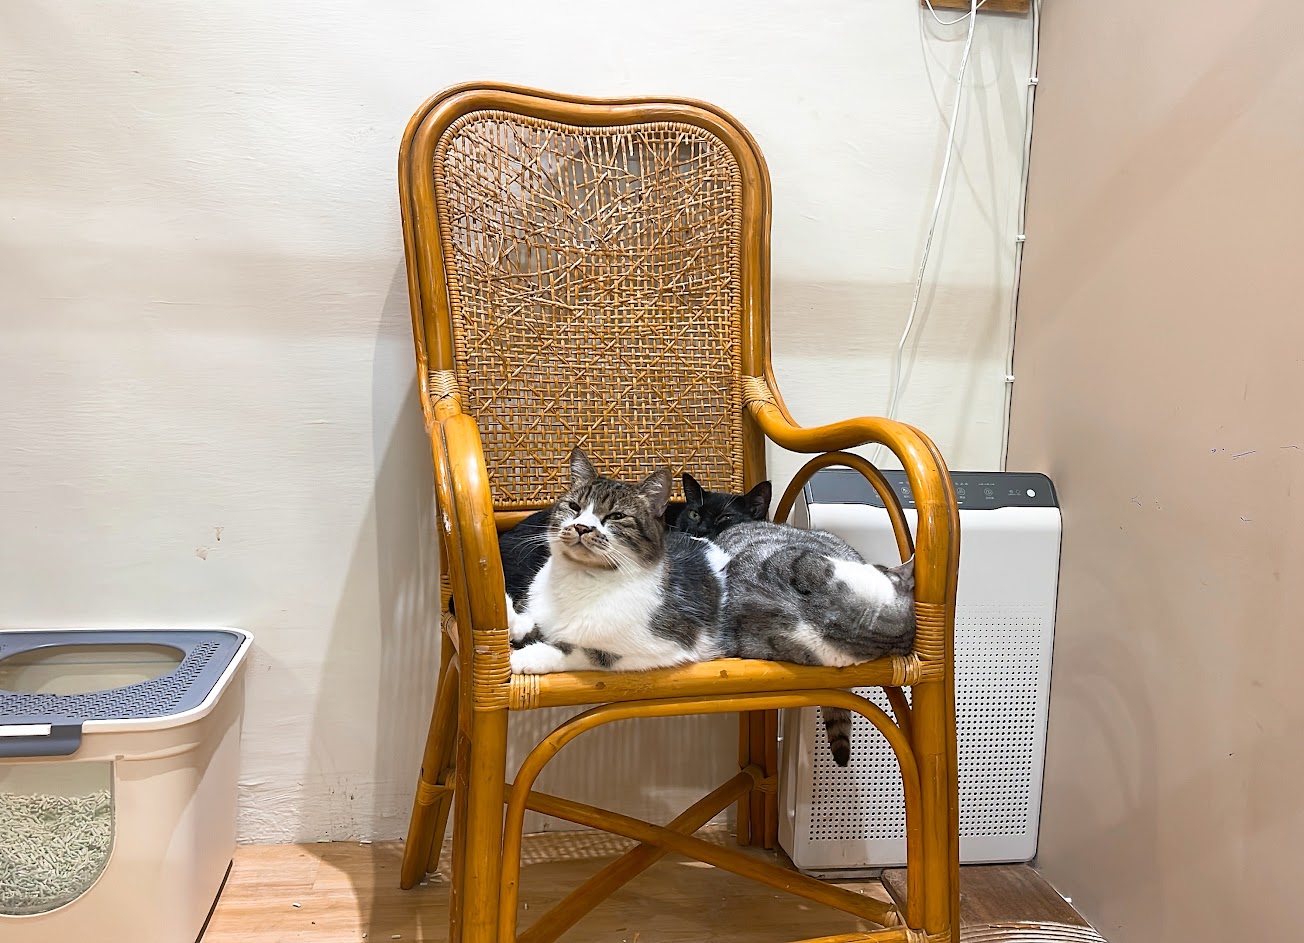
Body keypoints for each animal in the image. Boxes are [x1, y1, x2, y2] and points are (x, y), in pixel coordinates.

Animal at [507, 448, 732, 674]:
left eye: (616, 516)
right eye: (573, 506)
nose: (581, 527)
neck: (578, 576)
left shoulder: (661, 647)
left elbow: (587, 651)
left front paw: (529, 656)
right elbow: (530, 622)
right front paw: (511, 616)